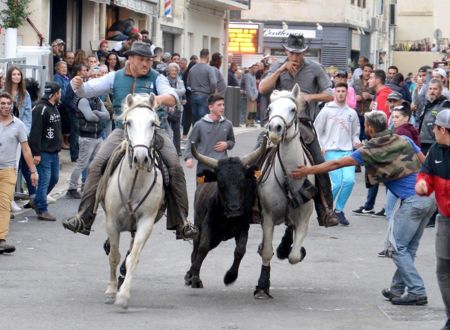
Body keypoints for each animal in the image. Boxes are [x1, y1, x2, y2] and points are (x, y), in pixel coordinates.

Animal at [102, 93, 165, 310]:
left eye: (153, 123)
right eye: (128, 122)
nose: (140, 158)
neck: (134, 183)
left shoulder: (146, 222)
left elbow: (133, 258)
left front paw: (123, 294)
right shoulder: (111, 222)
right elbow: (114, 255)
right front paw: (111, 290)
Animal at [255, 83, 314, 300]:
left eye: (293, 109)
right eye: (269, 109)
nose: (274, 129)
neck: (289, 177)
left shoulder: (305, 218)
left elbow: (295, 256)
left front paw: (293, 250)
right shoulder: (267, 217)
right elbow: (266, 252)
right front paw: (262, 286)